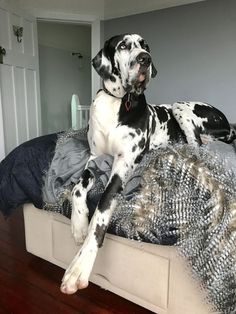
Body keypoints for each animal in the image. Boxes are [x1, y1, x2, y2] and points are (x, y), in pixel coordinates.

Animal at [60, 33, 234, 294]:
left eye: (146, 46)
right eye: (123, 45)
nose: (145, 59)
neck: (118, 102)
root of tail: (226, 122)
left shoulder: (121, 167)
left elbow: (100, 214)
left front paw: (79, 266)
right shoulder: (94, 157)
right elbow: (78, 187)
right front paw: (79, 224)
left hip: (181, 107)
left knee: (195, 147)